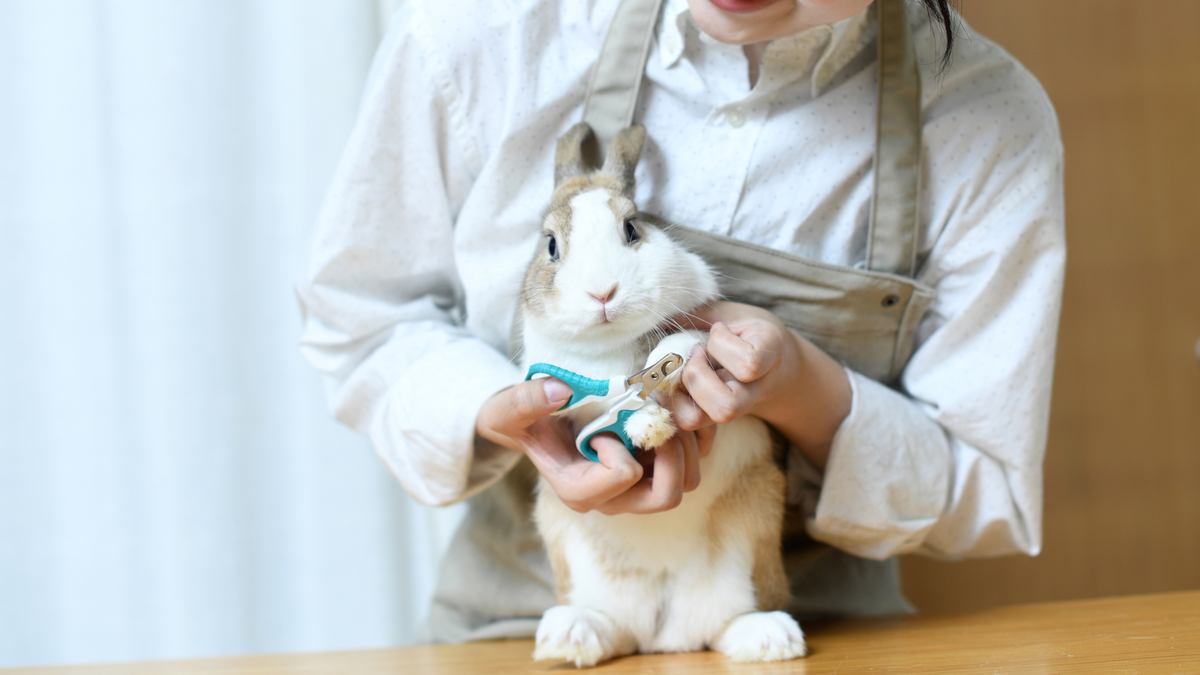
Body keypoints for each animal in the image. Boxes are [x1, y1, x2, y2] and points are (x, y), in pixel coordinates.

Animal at [516, 121, 806, 667]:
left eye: (632, 229)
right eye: (551, 246)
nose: (601, 293)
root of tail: (665, 634)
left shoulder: (697, 338)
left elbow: (675, 351)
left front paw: (650, 421)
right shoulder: (568, 403)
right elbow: (595, 421)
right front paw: (648, 427)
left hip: (753, 533)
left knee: (728, 621)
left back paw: (771, 638)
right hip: (572, 549)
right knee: (615, 630)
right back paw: (570, 635)